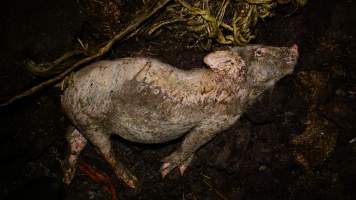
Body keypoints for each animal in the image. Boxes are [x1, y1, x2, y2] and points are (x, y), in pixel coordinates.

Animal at [60, 43, 298, 188]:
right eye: (260, 52)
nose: (294, 46)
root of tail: (64, 93)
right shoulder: (212, 124)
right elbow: (190, 144)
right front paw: (164, 171)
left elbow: (193, 148)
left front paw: (182, 170)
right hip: (92, 123)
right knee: (105, 151)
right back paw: (133, 182)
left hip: (83, 121)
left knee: (74, 139)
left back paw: (67, 178)